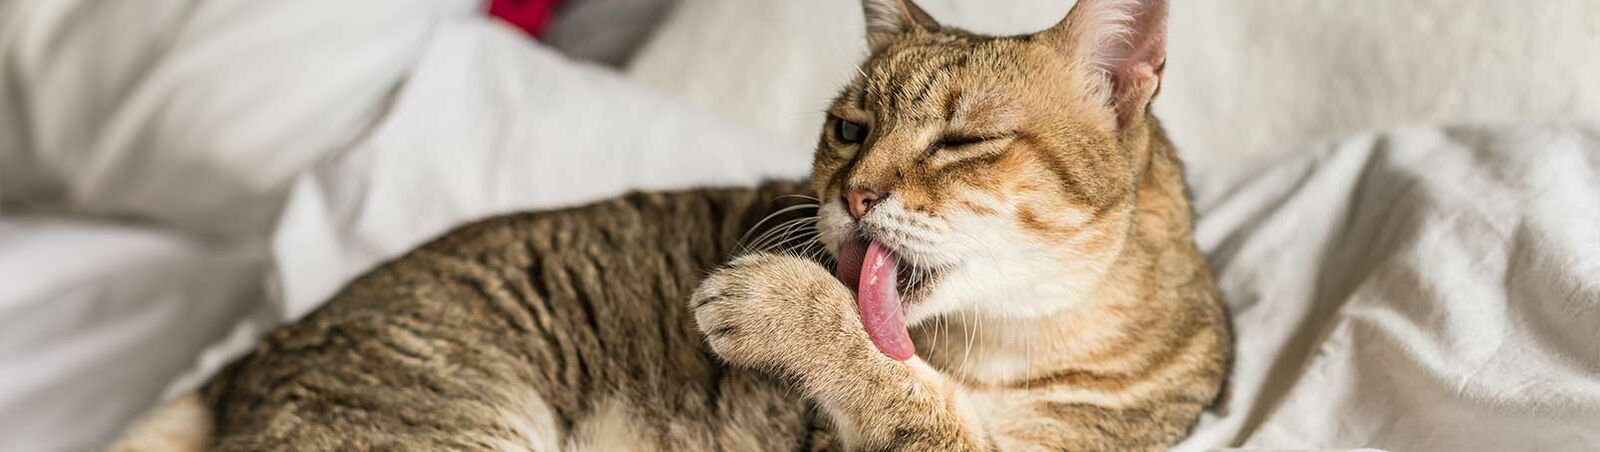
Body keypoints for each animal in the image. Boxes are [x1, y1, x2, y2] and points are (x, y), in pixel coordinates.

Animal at [112, 0, 1222, 448]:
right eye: (849, 128)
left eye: (958, 141)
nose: (854, 192)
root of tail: (261, 351)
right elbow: (910, 387)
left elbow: (913, 396)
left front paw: (777, 302)